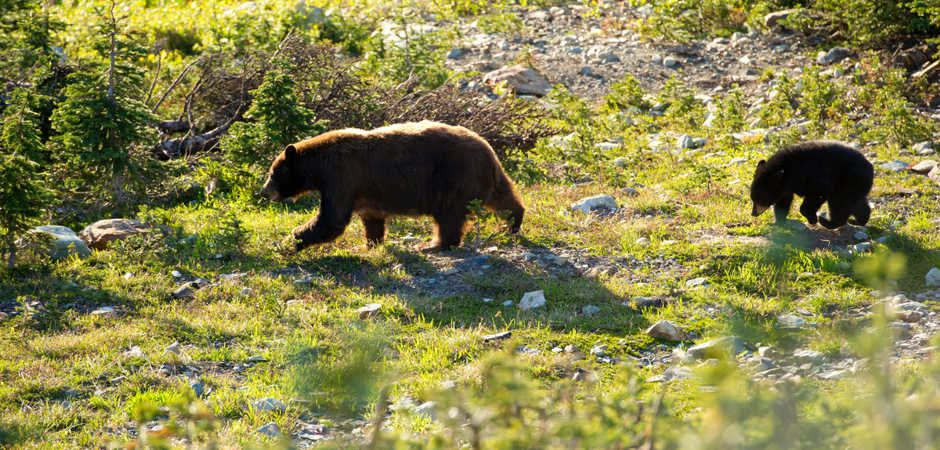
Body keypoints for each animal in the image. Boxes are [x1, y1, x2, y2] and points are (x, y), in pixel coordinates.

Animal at [258, 119, 520, 253]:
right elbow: (371, 218)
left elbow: (332, 218)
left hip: (453, 177)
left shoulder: (340, 176)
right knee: (503, 197)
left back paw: (434, 244)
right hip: (485, 177)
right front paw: (370, 243)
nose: (263, 192)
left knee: (449, 215)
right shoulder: (362, 189)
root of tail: (488, 149)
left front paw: (288, 241)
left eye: (273, 173)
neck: (318, 166)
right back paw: (514, 222)